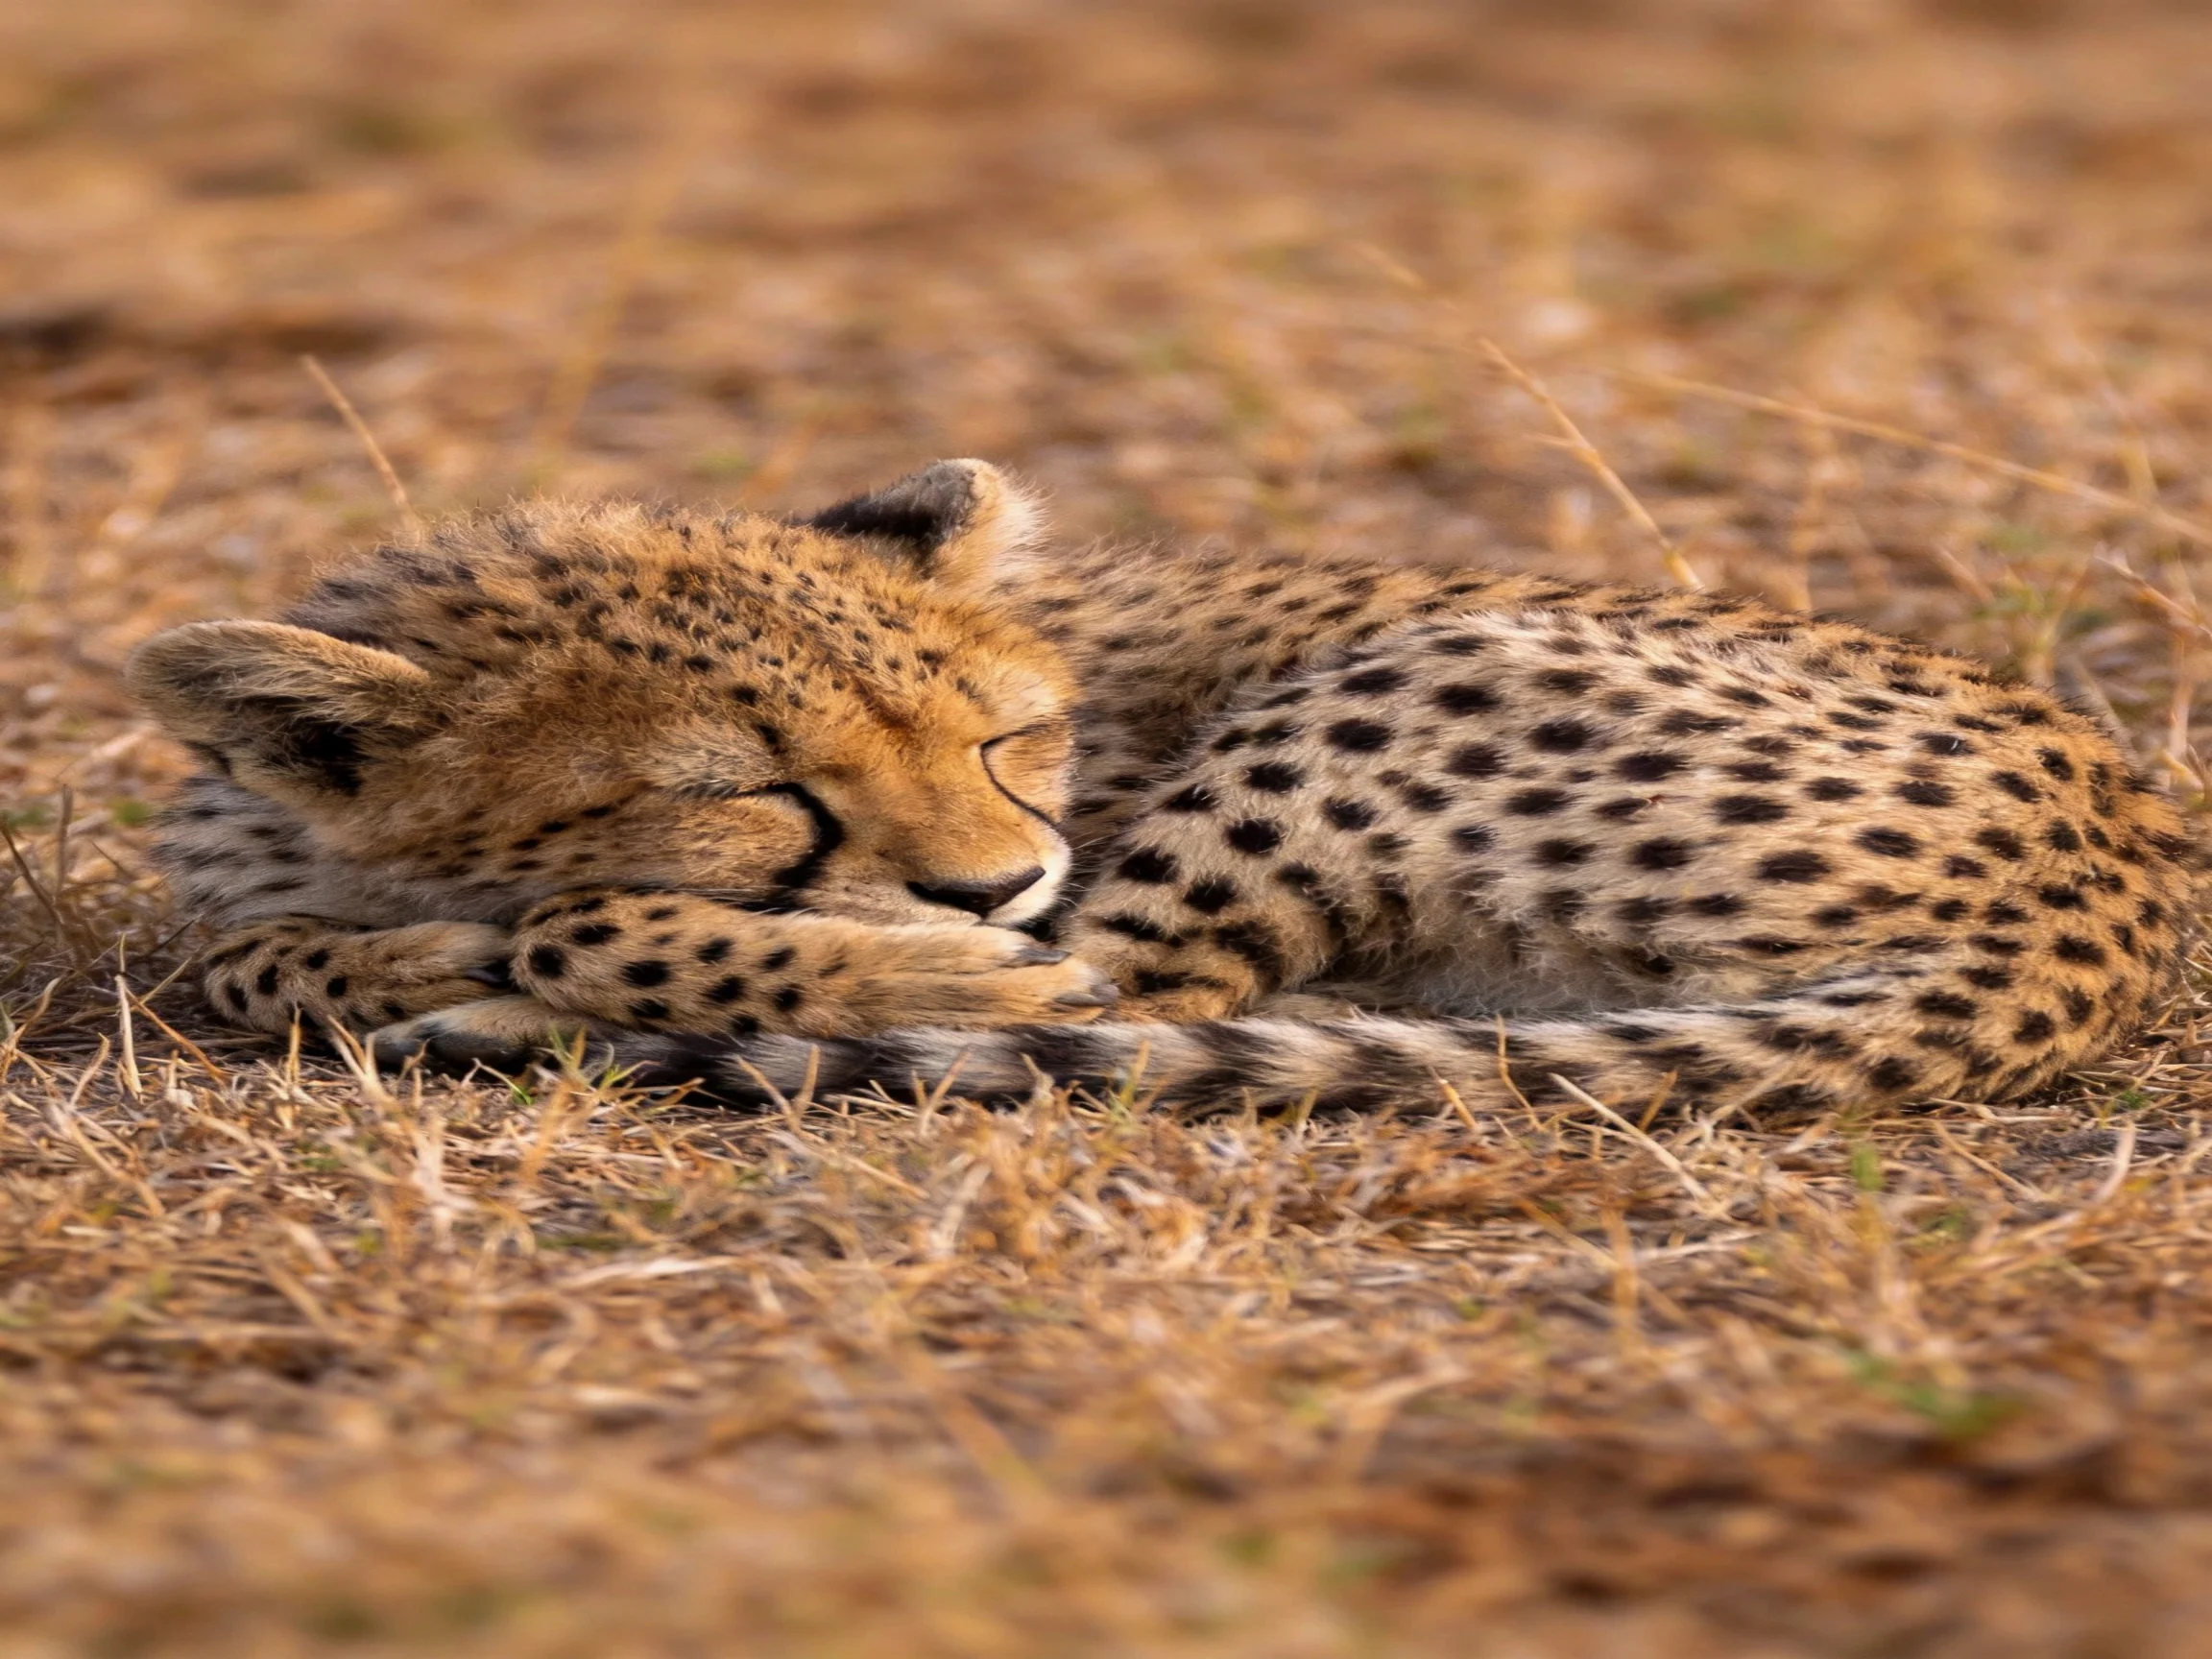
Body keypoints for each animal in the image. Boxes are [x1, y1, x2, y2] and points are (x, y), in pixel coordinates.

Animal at [126, 458, 2198, 1118]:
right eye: (758, 789)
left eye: (997, 738)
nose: (989, 885)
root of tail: (2108, 871)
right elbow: (234, 954)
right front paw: (364, 967)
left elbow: (581, 918)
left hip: (1395, 690)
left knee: (1119, 997)